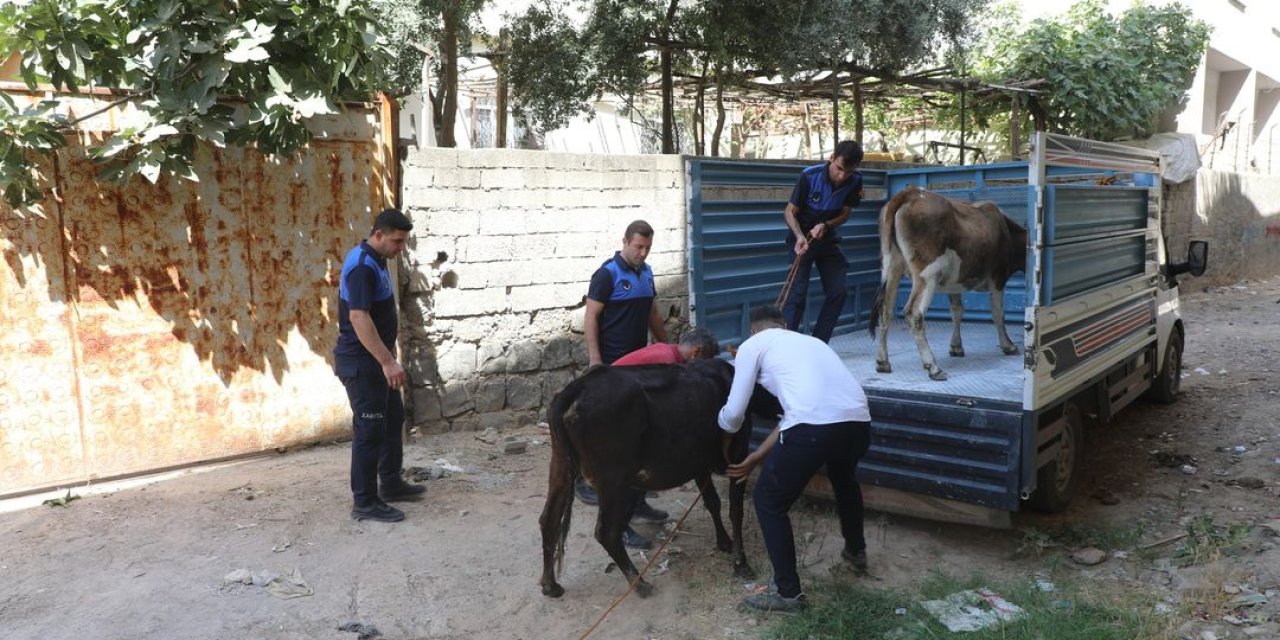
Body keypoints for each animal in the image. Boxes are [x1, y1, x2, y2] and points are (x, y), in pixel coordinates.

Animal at [535, 360, 773, 599]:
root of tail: (577, 387)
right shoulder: (738, 457)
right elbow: (736, 511)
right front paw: (741, 564)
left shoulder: (698, 464)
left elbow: (712, 502)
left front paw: (724, 542)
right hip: (614, 480)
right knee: (606, 532)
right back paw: (639, 583)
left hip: (560, 467)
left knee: (549, 520)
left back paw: (550, 584)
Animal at [870, 186, 1029, 381]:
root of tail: (909, 192)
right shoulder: (998, 277)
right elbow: (998, 313)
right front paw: (1008, 345)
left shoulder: (954, 282)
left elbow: (957, 311)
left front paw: (956, 347)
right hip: (927, 273)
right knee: (914, 313)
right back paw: (933, 367)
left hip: (892, 266)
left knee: (885, 310)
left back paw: (883, 362)